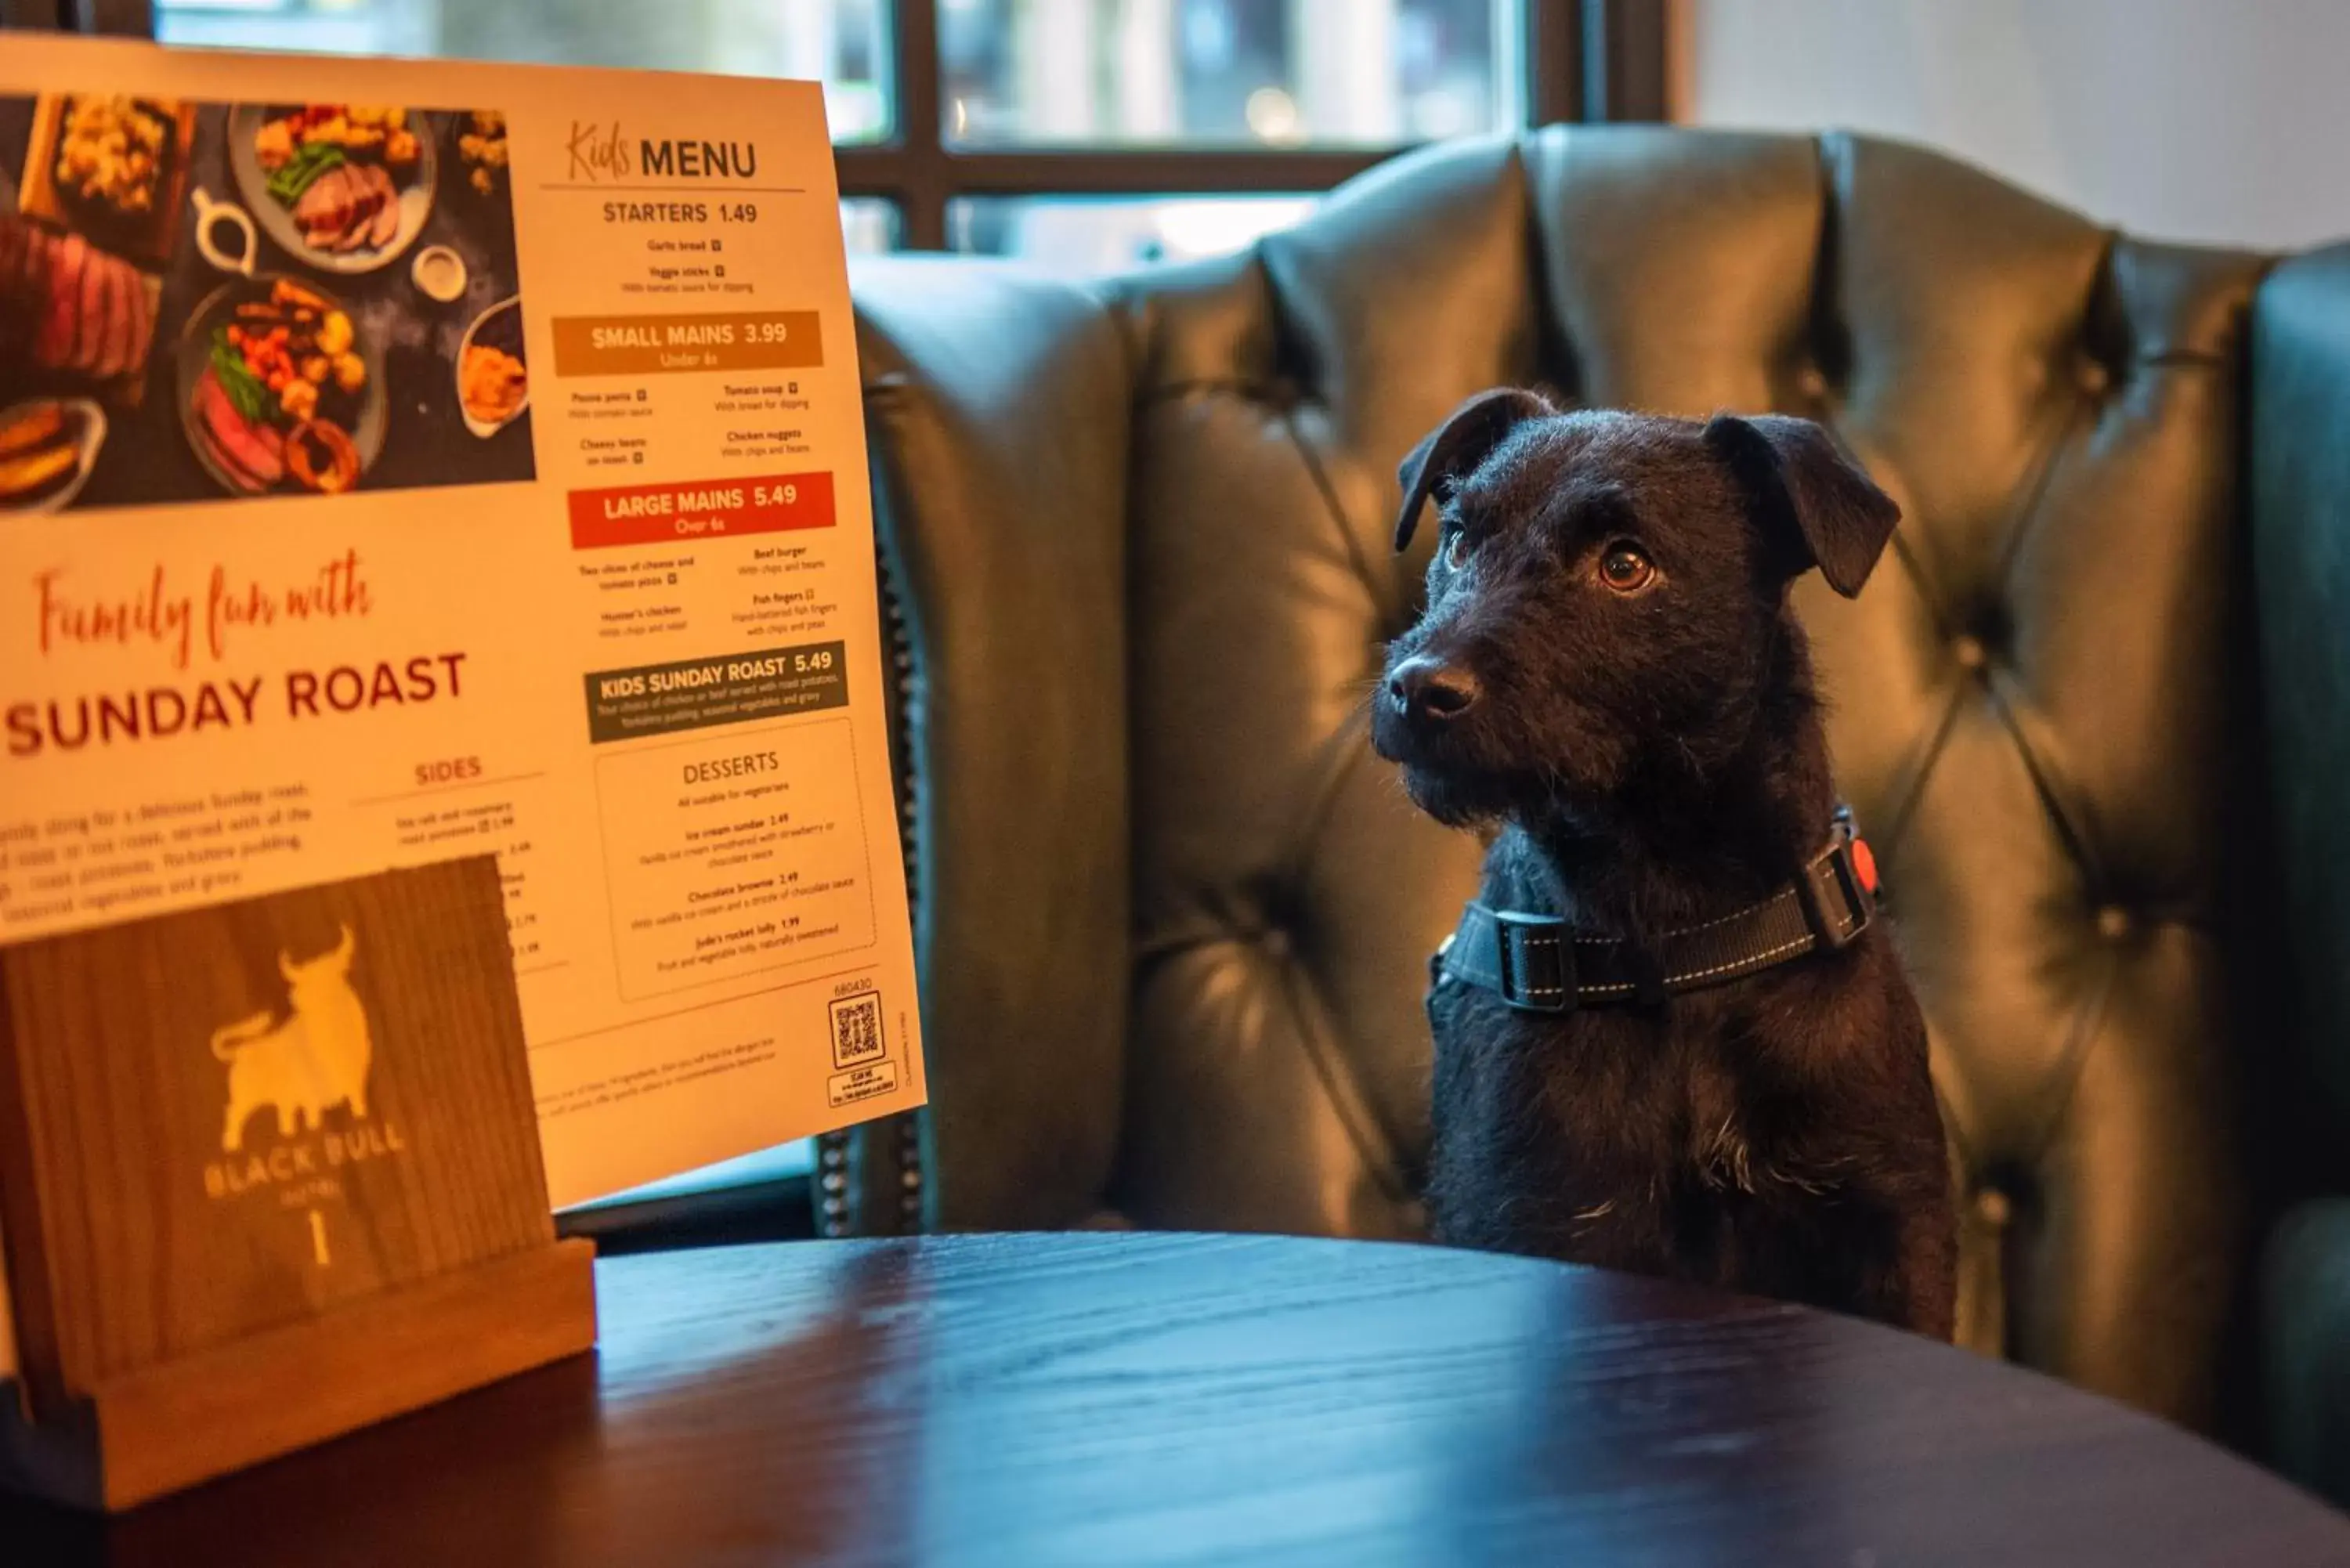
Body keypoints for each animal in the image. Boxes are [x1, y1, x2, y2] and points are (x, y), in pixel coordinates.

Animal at [1372, 390, 1955, 1335]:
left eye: (1625, 565)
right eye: (1457, 539)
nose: (1419, 688)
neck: (1684, 938)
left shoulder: (1897, 1229)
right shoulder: (1533, 1216)